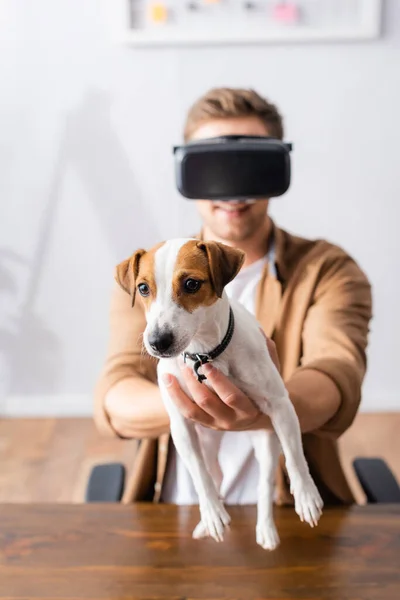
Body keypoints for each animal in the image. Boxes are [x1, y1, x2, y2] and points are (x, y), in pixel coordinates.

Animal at [115, 237, 322, 552]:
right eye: (143, 288)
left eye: (191, 284)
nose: (157, 342)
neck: (204, 353)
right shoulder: (181, 425)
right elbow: (200, 476)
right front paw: (212, 514)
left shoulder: (281, 405)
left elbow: (296, 457)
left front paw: (306, 495)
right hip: (206, 442)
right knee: (213, 475)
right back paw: (208, 519)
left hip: (266, 439)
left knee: (265, 483)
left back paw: (266, 529)